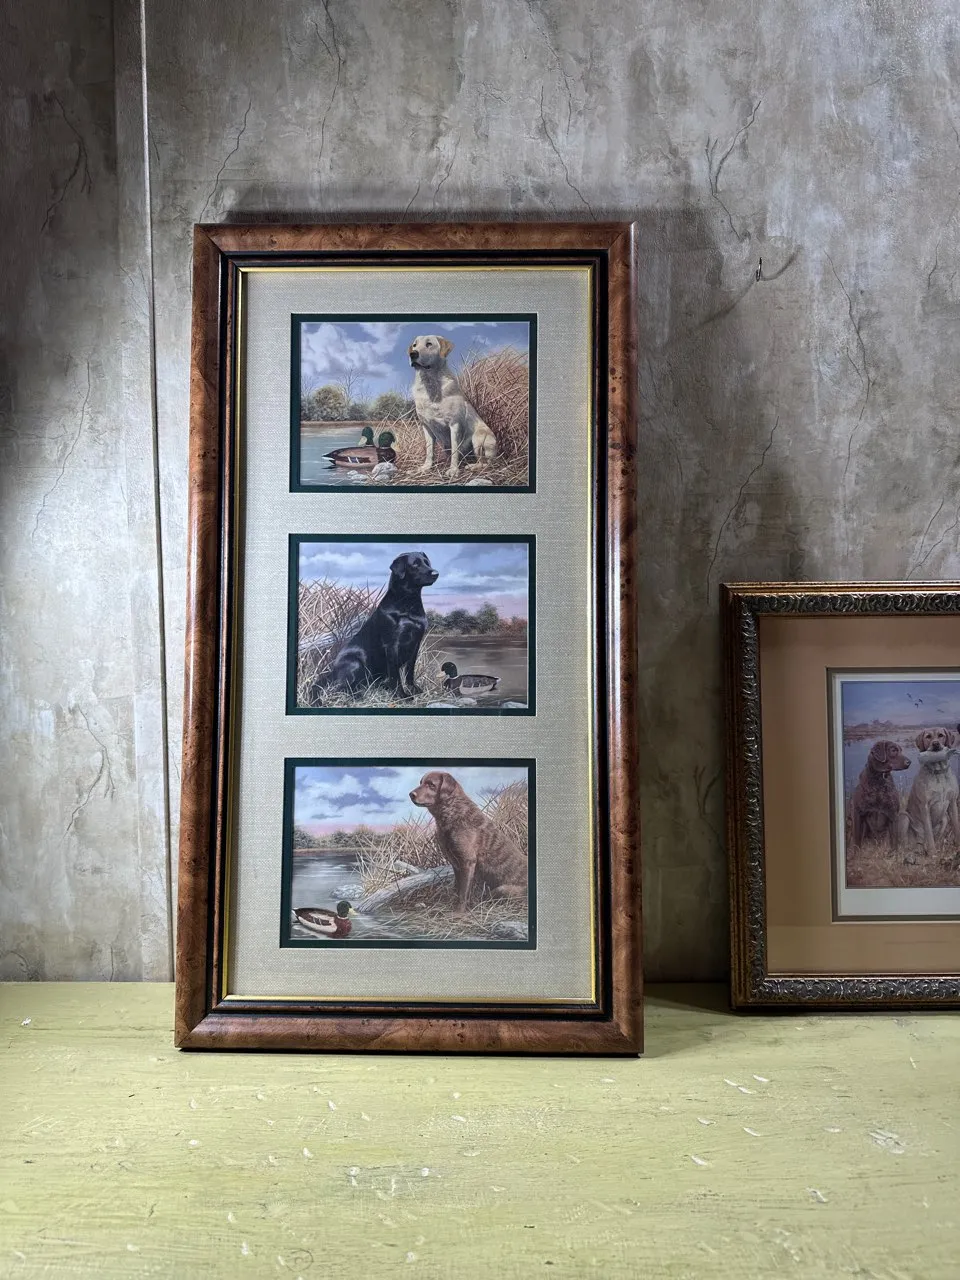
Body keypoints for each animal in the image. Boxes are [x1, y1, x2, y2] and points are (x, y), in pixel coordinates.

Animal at [325, 552, 438, 698]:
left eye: (427, 562)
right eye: (415, 564)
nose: (436, 573)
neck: (409, 602)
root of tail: (330, 674)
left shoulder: (416, 643)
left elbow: (409, 671)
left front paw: (413, 689)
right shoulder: (392, 645)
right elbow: (395, 675)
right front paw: (401, 695)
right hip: (355, 661)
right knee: (340, 688)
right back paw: (358, 695)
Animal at [408, 335, 497, 477]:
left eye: (429, 344)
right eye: (414, 345)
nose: (412, 354)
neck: (430, 385)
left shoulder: (455, 425)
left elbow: (455, 450)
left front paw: (454, 470)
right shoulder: (426, 426)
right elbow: (429, 451)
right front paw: (426, 467)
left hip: (479, 438)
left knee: (486, 463)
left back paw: (472, 466)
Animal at [409, 771, 527, 912]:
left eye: (431, 784)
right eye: (421, 783)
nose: (411, 794)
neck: (453, 812)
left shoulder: (467, 862)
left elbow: (463, 892)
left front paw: (459, 912)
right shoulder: (456, 864)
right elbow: (457, 888)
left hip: (502, 889)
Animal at [898, 726, 960, 860]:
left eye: (941, 735)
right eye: (928, 737)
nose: (935, 744)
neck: (938, 773)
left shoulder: (952, 802)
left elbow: (956, 825)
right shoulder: (925, 806)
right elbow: (929, 833)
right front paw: (932, 853)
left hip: (944, 819)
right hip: (904, 817)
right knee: (904, 844)